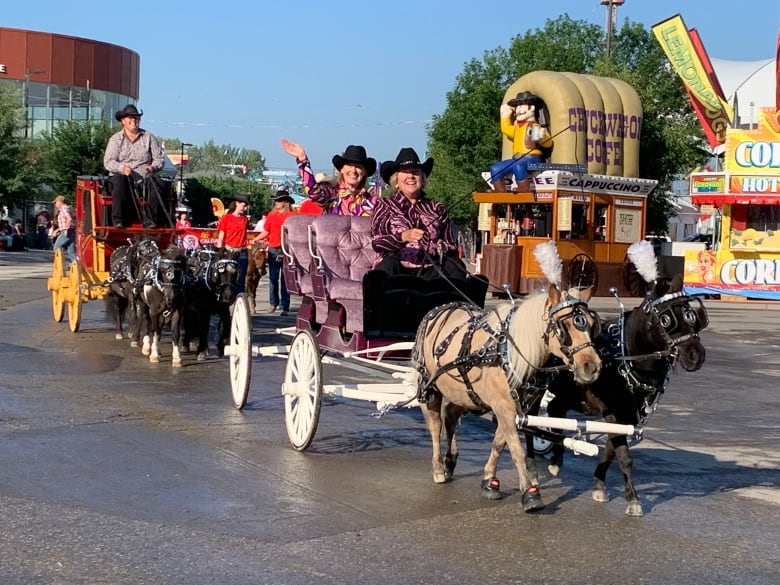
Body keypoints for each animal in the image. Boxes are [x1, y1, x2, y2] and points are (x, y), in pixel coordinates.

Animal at [414, 242, 604, 512]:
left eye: (590, 323)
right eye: (563, 328)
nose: (591, 366)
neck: (509, 353)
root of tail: (440, 309)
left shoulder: (515, 406)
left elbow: (499, 442)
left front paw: (489, 481)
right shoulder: (503, 405)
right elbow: (515, 447)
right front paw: (530, 492)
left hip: (465, 392)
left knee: (450, 417)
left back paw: (450, 462)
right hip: (431, 386)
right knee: (435, 424)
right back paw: (439, 467)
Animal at [532, 274, 708, 516]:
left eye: (692, 315)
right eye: (666, 320)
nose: (696, 356)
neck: (624, 359)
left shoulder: (627, 417)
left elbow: (610, 450)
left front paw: (599, 485)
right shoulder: (614, 412)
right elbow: (624, 455)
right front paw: (633, 500)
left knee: (554, 410)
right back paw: (551, 455)